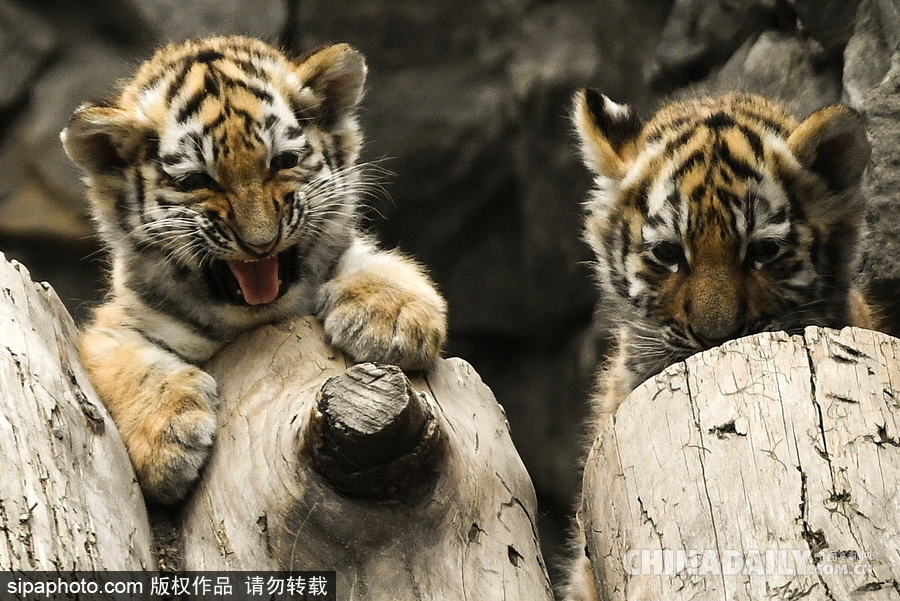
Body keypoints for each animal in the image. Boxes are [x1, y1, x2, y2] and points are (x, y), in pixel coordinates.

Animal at [60, 36, 447, 506]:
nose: (260, 242)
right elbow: (130, 368)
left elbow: (374, 263)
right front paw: (167, 445)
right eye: (196, 181)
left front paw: (394, 324)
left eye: (283, 161)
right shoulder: (110, 328)